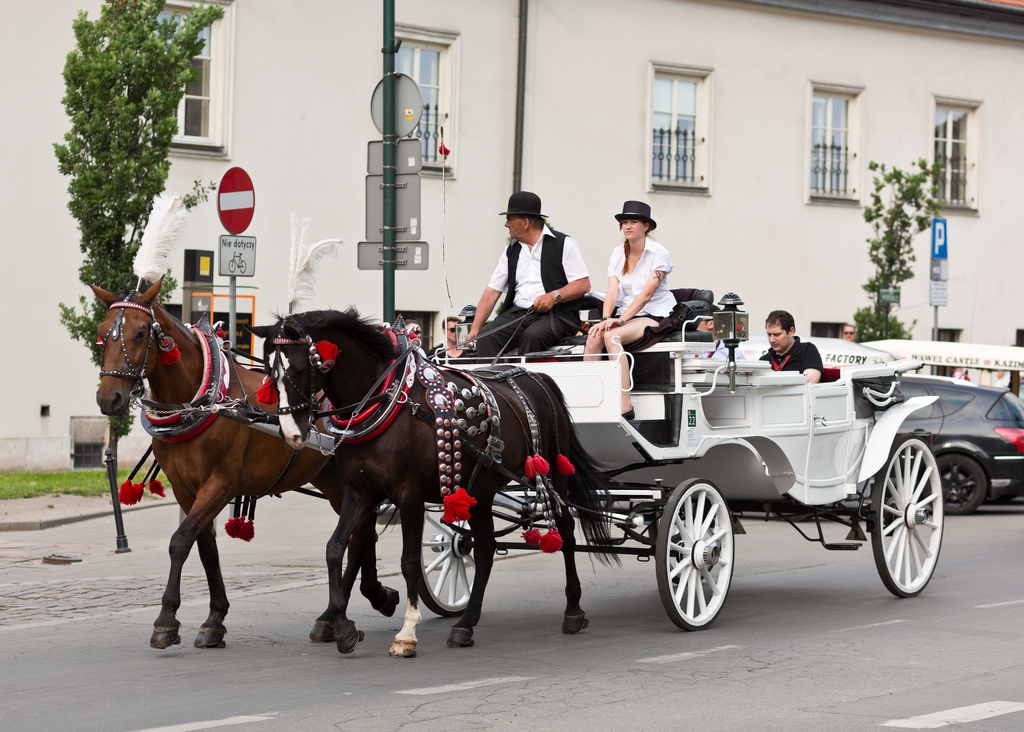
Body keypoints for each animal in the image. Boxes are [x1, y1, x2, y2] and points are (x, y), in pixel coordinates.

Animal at [91, 280, 395, 651]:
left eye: (139, 333)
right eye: (102, 333)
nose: (109, 398)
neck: (201, 400)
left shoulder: (220, 485)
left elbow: (180, 541)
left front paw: (166, 620)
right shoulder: (185, 490)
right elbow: (205, 548)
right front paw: (214, 619)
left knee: (359, 536)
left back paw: (354, 606)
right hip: (336, 480)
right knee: (360, 534)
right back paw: (349, 608)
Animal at [249, 311, 614, 659]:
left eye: (298, 368)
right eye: (269, 372)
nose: (292, 434)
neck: (386, 401)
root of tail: (537, 376)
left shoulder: (408, 496)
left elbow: (409, 562)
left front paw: (407, 634)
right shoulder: (360, 494)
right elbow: (335, 548)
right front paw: (342, 628)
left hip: (555, 475)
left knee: (566, 533)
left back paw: (573, 610)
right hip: (482, 489)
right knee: (485, 549)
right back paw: (466, 624)